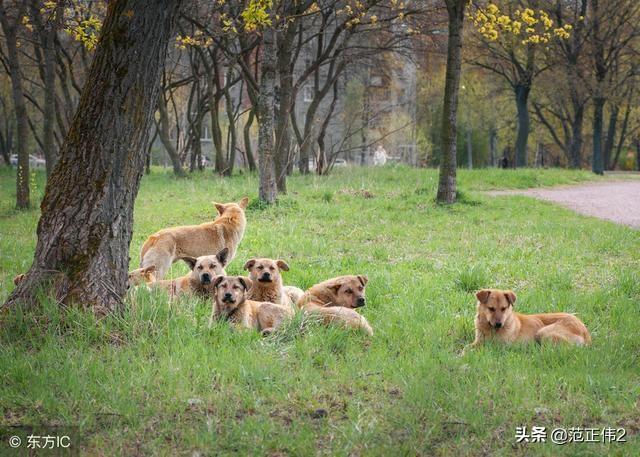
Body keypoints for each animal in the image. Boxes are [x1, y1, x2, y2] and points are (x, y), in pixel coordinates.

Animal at [462, 288, 592, 352]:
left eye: (504, 308)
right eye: (491, 308)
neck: (490, 329)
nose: (499, 324)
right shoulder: (479, 341)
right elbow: (466, 347)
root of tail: (586, 333)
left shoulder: (500, 345)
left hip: (543, 332)